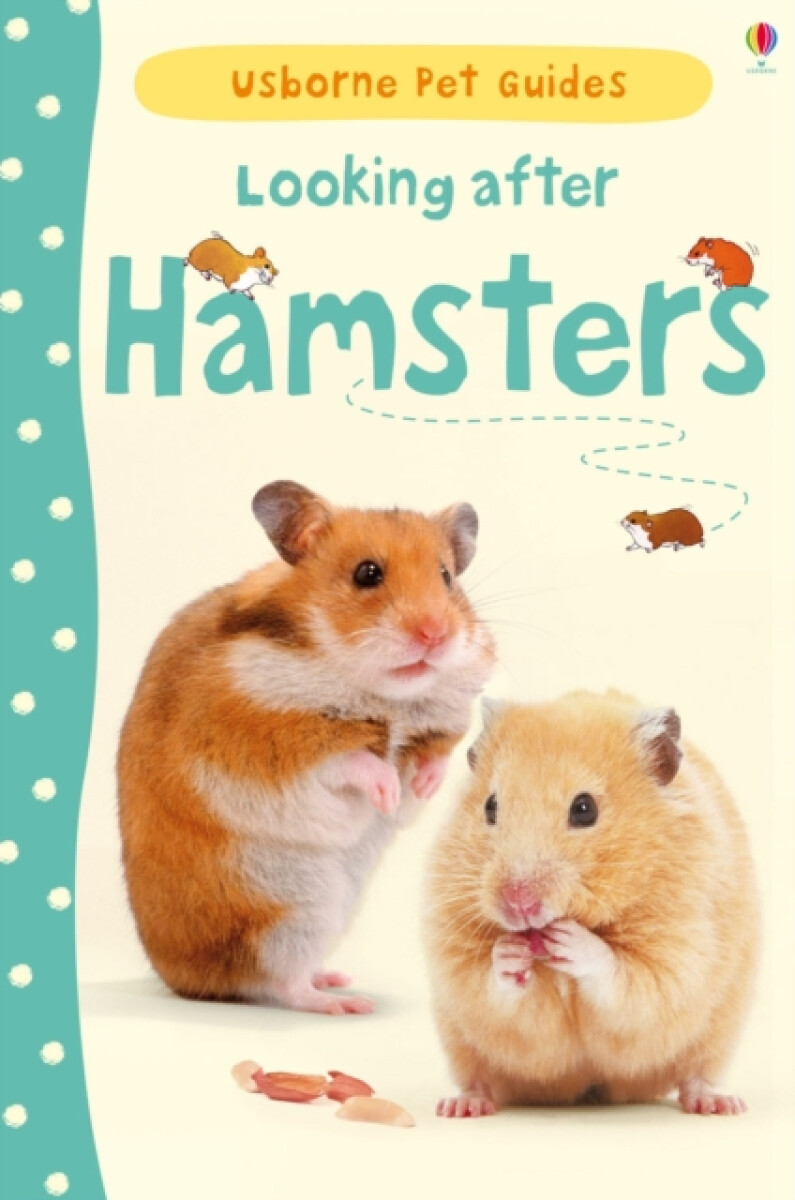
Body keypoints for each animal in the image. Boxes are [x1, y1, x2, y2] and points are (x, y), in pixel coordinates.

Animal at [117, 481, 495, 1015]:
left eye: (446, 577)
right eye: (367, 573)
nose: (436, 635)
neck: (382, 691)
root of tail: (183, 981)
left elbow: (434, 752)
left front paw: (421, 783)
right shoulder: (269, 742)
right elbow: (351, 761)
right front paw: (387, 793)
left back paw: (334, 979)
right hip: (290, 907)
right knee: (279, 982)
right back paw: (346, 1004)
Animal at [426, 690, 758, 1117]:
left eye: (584, 809)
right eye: (490, 807)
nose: (517, 903)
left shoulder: (678, 950)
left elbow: (623, 972)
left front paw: (570, 940)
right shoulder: (456, 962)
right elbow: (485, 980)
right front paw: (510, 951)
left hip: (718, 1032)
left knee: (695, 1074)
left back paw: (718, 1104)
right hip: (459, 1041)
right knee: (480, 1079)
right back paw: (462, 1106)